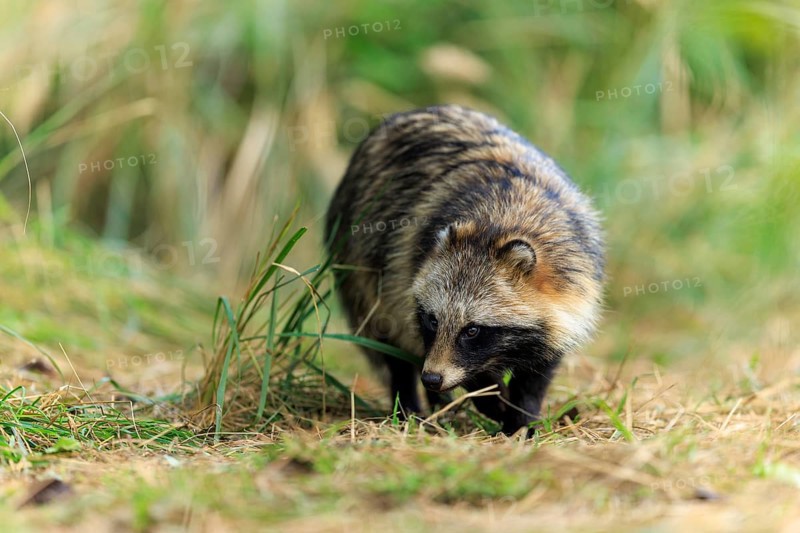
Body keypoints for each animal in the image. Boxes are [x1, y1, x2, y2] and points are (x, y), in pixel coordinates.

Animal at [325, 105, 604, 435]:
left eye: (473, 330)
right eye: (433, 320)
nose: (432, 379)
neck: (504, 219)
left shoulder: (570, 293)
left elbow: (538, 371)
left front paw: (520, 420)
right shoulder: (408, 263)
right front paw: (491, 399)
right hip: (360, 261)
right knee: (389, 341)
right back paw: (409, 408)